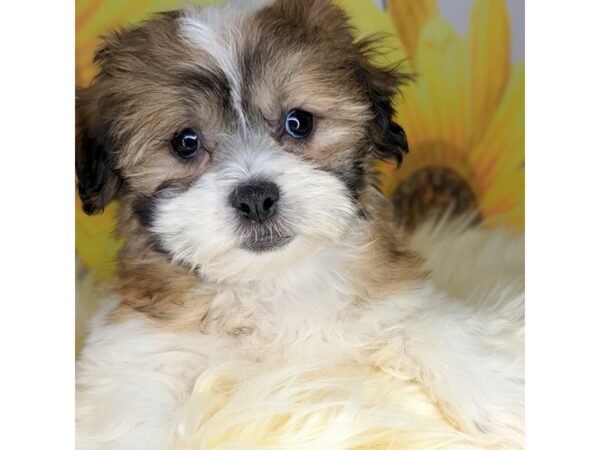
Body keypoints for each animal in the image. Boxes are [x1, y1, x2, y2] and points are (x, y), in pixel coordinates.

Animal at [75, 1, 524, 448]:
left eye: (299, 122)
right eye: (185, 142)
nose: (255, 198)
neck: (270, 283)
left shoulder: (391, 302)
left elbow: (433, 326)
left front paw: (502, 404)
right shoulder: (140, 354)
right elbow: (131, 412)